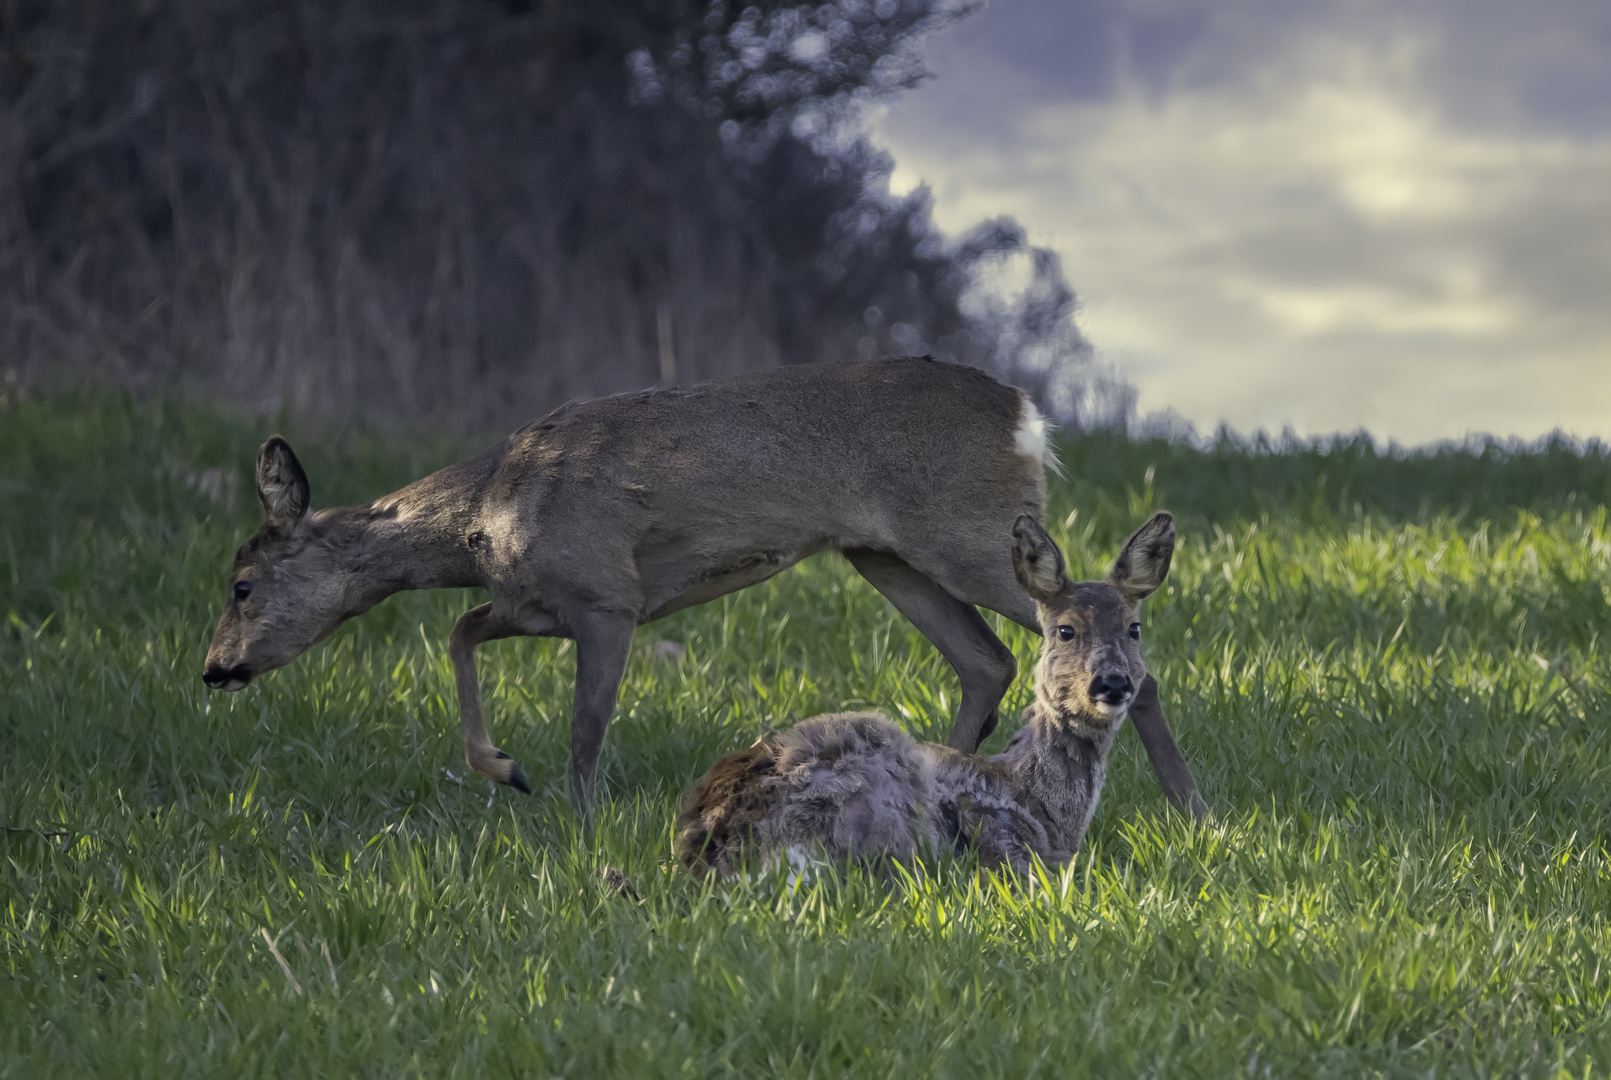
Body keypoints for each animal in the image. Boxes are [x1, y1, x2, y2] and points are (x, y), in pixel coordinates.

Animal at [201, 359, 1205, 815]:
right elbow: (457, 633)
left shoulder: (606, 597)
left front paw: (573, 811)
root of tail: (1024, 414)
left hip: (966, 530)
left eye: (241, 584)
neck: (490, 514)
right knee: (985, 660)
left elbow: (585, 722)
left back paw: (1188, 804)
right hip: (880, 553)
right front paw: (505, 769)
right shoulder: (536, 602)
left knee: (1104, 625)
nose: (214, 669)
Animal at [673, 509, 1179, 876]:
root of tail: (705, 851)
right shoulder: (999, 830)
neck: (1044, 805)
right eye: (1065, 630)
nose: (1112, 682)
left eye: (1134, 628)